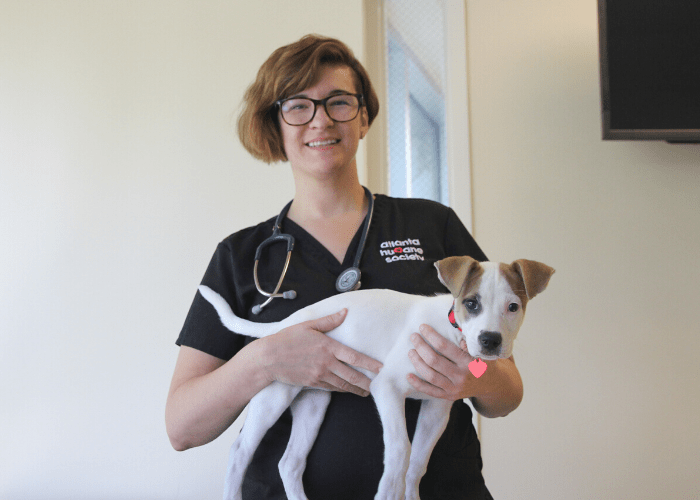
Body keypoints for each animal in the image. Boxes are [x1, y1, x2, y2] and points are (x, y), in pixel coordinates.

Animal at [200, 256, 556, 498]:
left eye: (513, 307)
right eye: (471, 303)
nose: (490, 341)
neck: (448, 329)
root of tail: (289, 323)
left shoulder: (436, 408)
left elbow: (418, 462)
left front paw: (409, 494)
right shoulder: (387, 388)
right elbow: (400, 449)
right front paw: (388, 491)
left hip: (313, 403)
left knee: (290, 463)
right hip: (275, 395)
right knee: (240, 452)